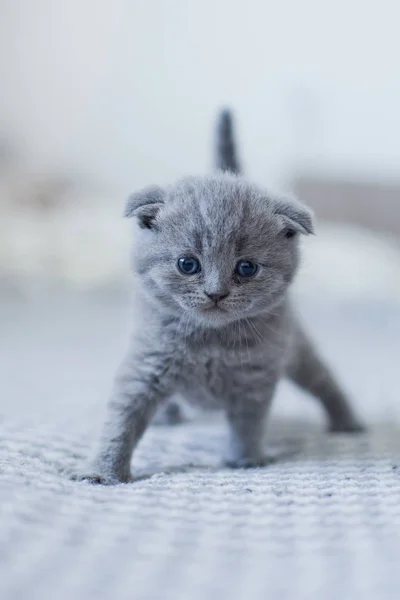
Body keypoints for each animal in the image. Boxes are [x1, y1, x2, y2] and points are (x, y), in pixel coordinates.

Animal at [79, 110, 364, 486]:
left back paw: (348, 423)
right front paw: (103, 473)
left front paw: (245, 459)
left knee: (324, 381)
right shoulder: (146, 364)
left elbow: (247, 423)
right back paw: (167, 416)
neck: (210, 341)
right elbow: (121, 421)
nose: (216, 292)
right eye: (187, 264)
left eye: (246, 268)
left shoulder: (255, 378)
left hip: (298, 349)